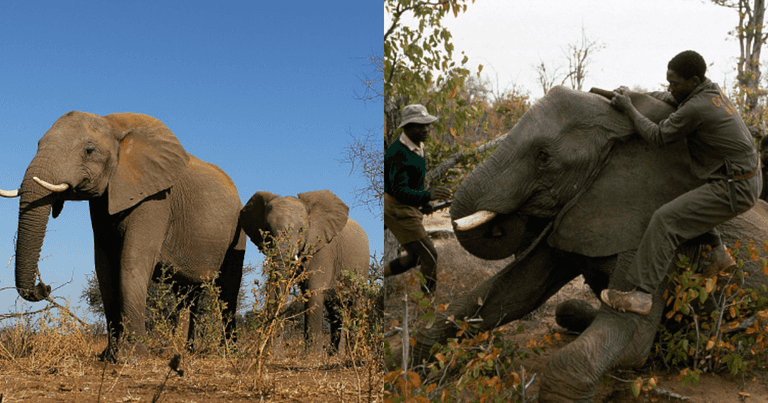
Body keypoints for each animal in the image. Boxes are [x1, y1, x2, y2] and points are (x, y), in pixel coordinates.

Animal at [1, 111, 246, 362]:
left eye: (89, 150)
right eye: (38, 144)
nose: (45, 287)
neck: (113, 125)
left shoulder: (155, 198)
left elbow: (132, 260)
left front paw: (133, 357)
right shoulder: (103, 201)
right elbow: (104, 266)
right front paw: (109, 355)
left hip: (238, 230)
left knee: (228, 290)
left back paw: (229, 353)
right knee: (189, 293)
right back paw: (186, 351)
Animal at [240, 189, 369, 354]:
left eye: (301, 230)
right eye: (267, 229)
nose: (268, 351)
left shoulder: (322, 250)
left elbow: (312, 290)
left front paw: (312, 356)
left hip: (362, 268)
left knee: (355, 303)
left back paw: (353, 352)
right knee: (334, 309)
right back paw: (334, 355)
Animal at [395, 86, 768, 402]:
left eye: (543, 156)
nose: (504, 223)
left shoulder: (652, 225)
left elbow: (632, 342)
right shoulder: (577, 210)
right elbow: (514, 291)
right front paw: (409, 368)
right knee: (562, 308)